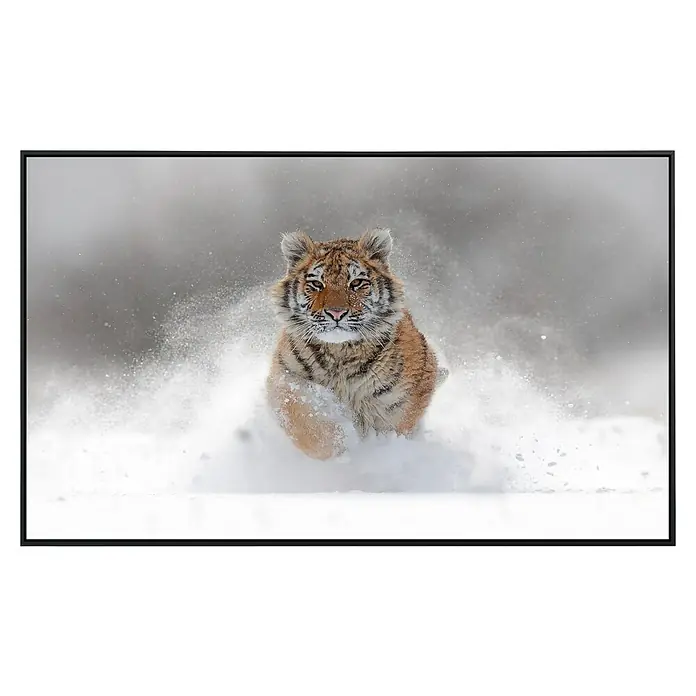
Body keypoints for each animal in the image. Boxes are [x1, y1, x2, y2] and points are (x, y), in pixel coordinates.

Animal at [266, 227, 448, 460]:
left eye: (356, 283)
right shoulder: (285, 379)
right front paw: (339, 449)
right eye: (316, 284)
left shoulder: (403, 400)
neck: (340, 353)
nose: (336, 313)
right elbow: (307, 421)